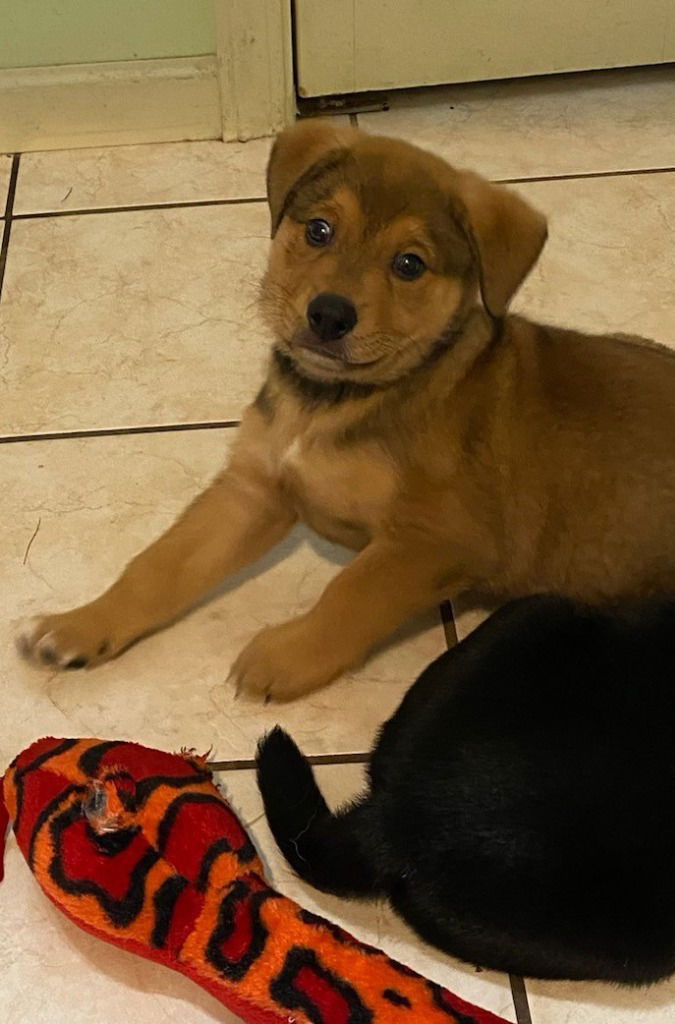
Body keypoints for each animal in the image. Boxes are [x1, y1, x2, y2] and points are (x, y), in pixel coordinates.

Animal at [17, 117, 675, 696]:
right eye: (318, 231)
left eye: (409, 264)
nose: (329, 315)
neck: (330, 406)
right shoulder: (253, 489)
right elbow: (158, 564)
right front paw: (80, 625)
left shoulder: (437, 540)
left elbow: (350, 597)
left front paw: (284, 657)